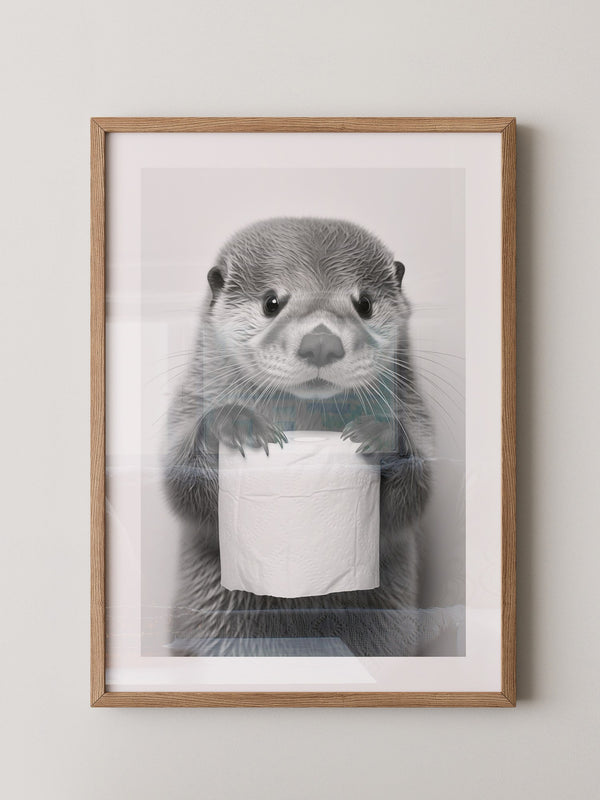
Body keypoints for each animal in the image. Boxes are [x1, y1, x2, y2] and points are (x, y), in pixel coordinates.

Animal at [164, 217, 433, 656]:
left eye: (364, 304)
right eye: (272, 302)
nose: (321, 342)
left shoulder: (414, 408)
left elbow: (415, 497)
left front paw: (379, 432)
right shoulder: (192, 398)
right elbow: (182, 489)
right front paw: (235, 423)